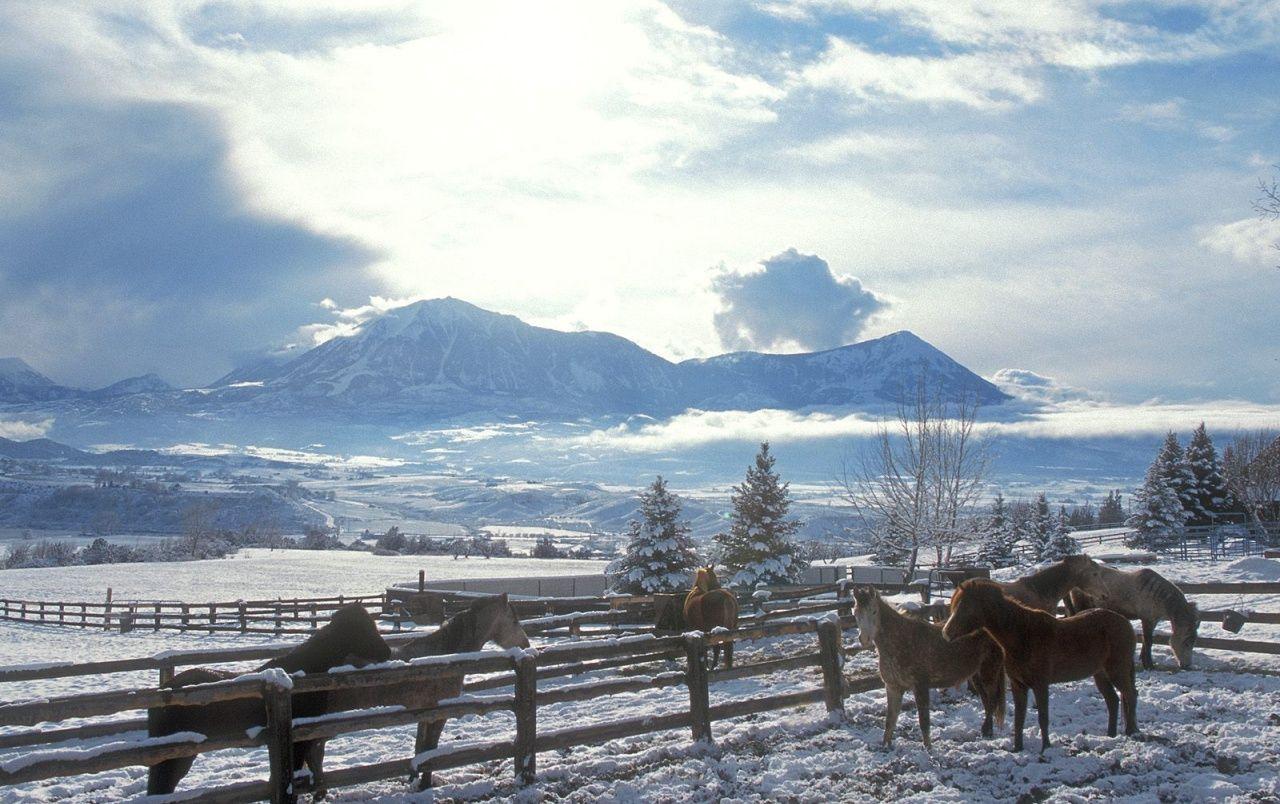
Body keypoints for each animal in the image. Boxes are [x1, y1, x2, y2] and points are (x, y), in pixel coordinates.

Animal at [852, 587, 1005, 748]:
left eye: (874, 611)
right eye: (855, 613)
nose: (864, 639)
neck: (901, 641)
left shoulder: (920, 686)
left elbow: (923, 722)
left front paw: (928, 749)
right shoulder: (893, 687)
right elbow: (890, 721)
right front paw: (885, 747)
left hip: (989, 672)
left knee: (992, 701)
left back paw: (987, 731)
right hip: (976, 675)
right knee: (987, 702)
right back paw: (987, 732)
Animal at [943, 579, 1138, 752]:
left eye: (965, 607)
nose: (946, 633)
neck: (1023, 636)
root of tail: (1125, 623)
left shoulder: (1040, 685)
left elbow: (1043, 717)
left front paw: (1046, 748)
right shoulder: (1018, 685)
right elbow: (1019, 718)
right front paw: (1017, 748)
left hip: (1117, 671)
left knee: (1130, 695)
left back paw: (1132, 732)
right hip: (1101, 674)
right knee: (1113, 700)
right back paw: (1111, 735)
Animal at [1065, 557, 1201, 670]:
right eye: (1187, 642)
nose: (1187, 665)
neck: (1162, 602)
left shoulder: (1153, 620)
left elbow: (1145, 641)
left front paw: (1143, 660)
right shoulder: (1146, 618)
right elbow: (1148, 641)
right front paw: (1149, 664)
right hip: (1080, 605)